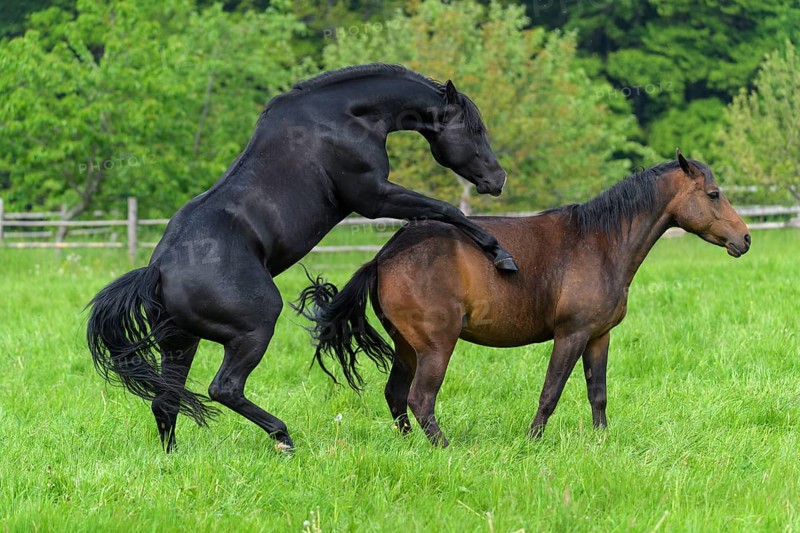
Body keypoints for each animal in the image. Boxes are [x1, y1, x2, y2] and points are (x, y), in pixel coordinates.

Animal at [87, 64, 517, 453]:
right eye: (475, 130)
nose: (498, 179)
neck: (344, 115)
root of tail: (157, 270)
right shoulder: (374, 197)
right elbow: (447, 209)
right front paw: (501, 256)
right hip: (254, 328)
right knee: (223, 388)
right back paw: (283, 437)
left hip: (180, 342)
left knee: (167, 400)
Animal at [297, 151, 751, 447]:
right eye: (713, 194)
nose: (744, 239)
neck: (600, 242)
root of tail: (384, 256)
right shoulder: (571, 335)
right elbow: (551, 392)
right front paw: (533, 441)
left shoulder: (598, 337)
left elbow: (598, 392)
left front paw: (601, 441)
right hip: (435, 347)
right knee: (419, 399)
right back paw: (444, 449)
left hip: (407, 346)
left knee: (396, 395)